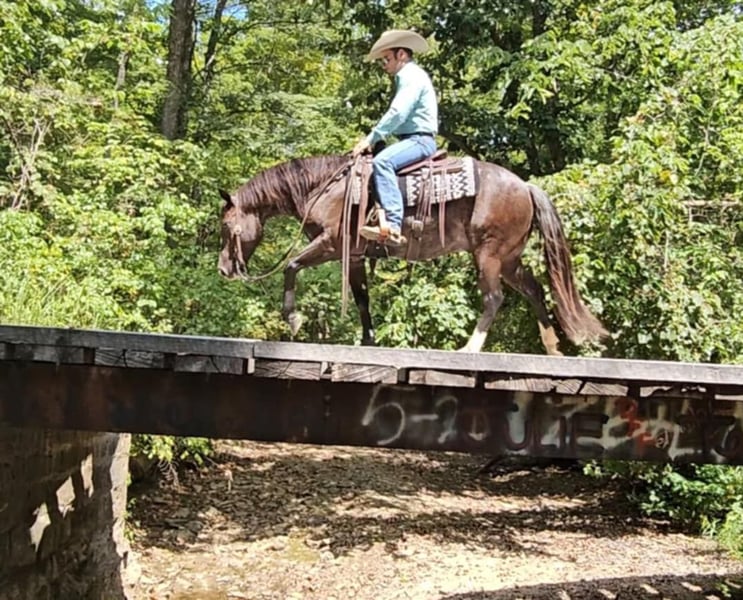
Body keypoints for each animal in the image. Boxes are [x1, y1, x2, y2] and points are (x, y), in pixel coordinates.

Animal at [217, 154, 608, 354]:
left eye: (225, 225)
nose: (223, 269)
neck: (325, 188)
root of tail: (525, 186)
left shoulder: (331, 244)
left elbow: (292, 265)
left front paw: (293, 318)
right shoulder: (354, 256)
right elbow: (362, 299)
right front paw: (368, 341)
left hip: (490, 255)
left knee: (494, 298)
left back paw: (470, 349)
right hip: (509, 259)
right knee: (534, 290)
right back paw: (553, 348)